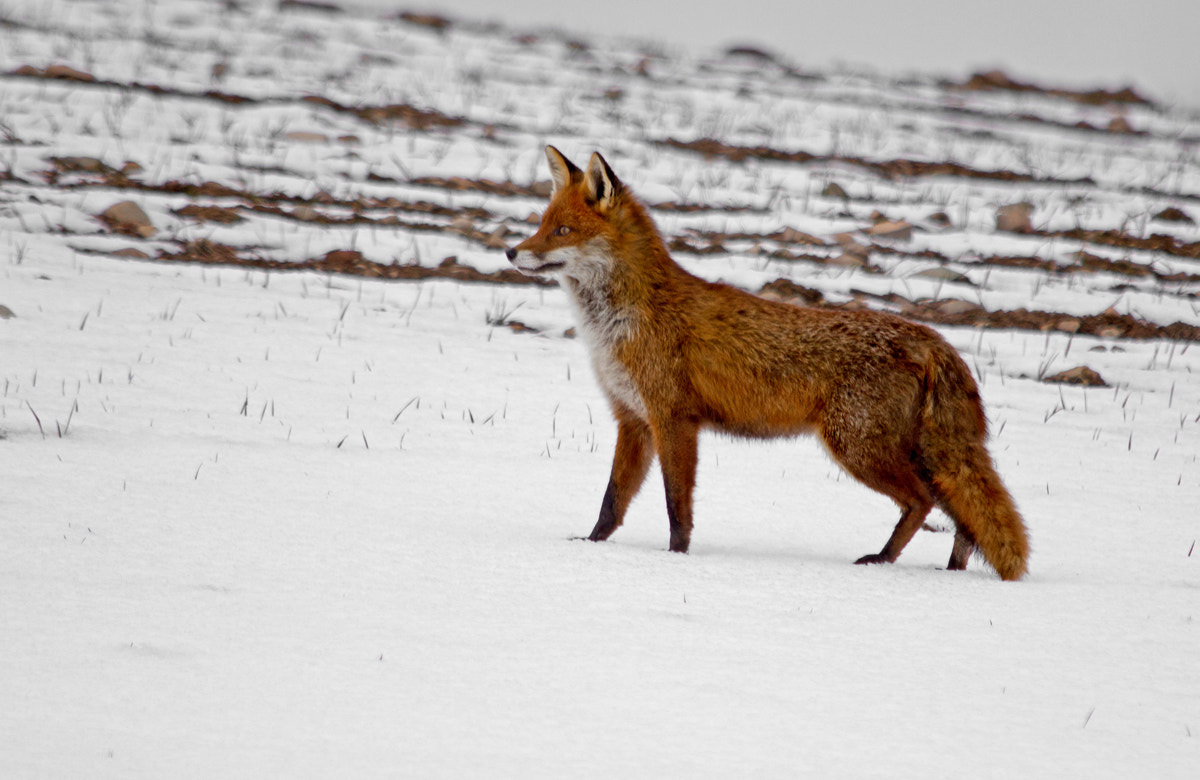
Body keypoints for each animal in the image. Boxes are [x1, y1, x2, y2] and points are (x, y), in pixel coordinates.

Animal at [505, 146, 1030, 580]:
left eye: (562, 231)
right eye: (540, 225)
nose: (511, 251)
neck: (624, 319)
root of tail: (932, 338)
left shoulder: (673, 419)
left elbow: (677, 506)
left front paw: (675, 559)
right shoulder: (633, 420)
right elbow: (612, 502)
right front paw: (590, 547)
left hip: (857, 447)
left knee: (923, 502)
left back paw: (883, 560)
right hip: (906, 451)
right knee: (960, 514)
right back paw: (951, 571)